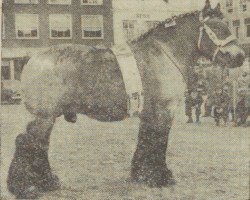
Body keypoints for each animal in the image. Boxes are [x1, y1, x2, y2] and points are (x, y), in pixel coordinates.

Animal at [7, 1, 244, 198]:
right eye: (217, 28)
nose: (240, 56)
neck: (164, 53)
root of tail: (33, 59)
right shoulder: (164, 111)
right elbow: (159, 141)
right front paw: (161, 176)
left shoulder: (149, 114)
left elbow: (146, 140)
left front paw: (141, 175)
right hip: (43, 117)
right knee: (28, 142)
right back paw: (28, 186)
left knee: (38, 145)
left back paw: (45, 182)